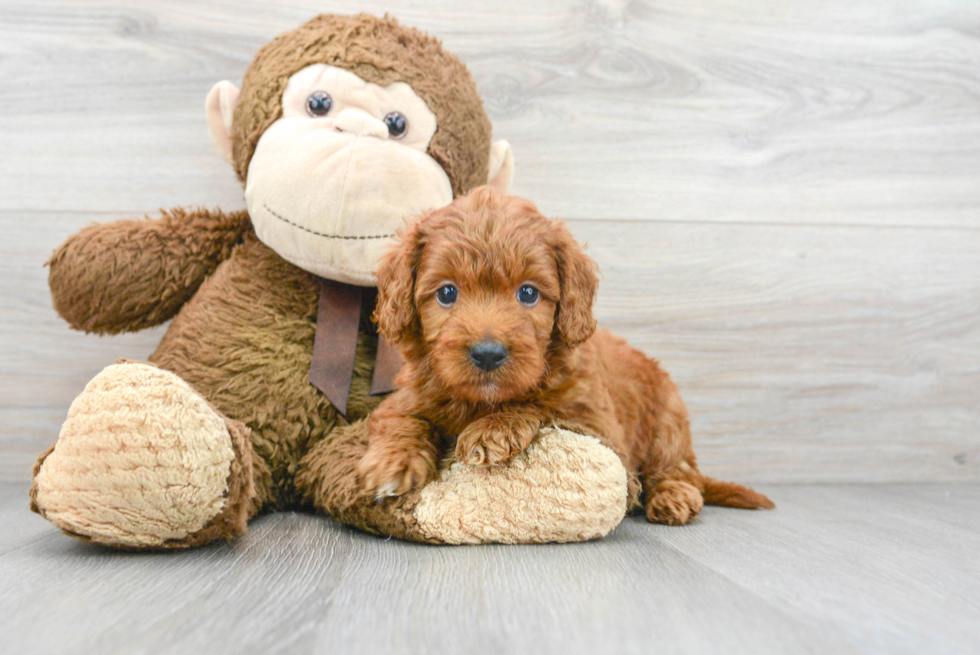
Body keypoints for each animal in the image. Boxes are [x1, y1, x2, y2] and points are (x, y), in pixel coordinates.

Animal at [358, 187, 772, 524]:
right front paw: (392, 461)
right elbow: (402, 419)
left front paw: (494, 430)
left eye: (528, 293)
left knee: (677, 469)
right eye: (446, 293)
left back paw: (674, 498)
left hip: (668, 421)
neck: (480, 402)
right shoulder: (408, 396)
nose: (488, 354)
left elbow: (542, 406)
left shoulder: (599, 427)